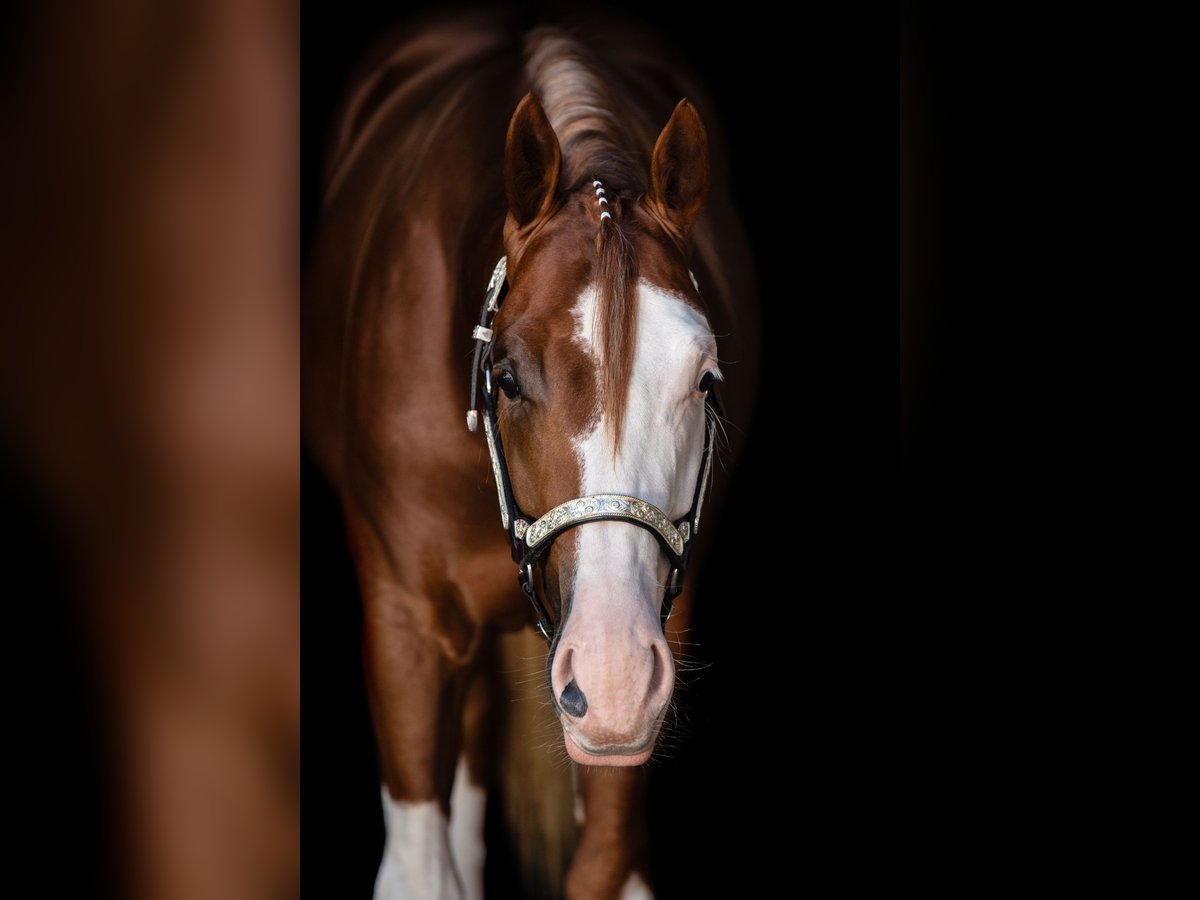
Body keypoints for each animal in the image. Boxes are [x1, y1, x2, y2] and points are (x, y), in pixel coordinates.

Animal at [305, 11, 758, 898]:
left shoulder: (665, 630)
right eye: (507, 377)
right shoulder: (405, 628)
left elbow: (605, 862)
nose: (612, 675)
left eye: (705, 380)